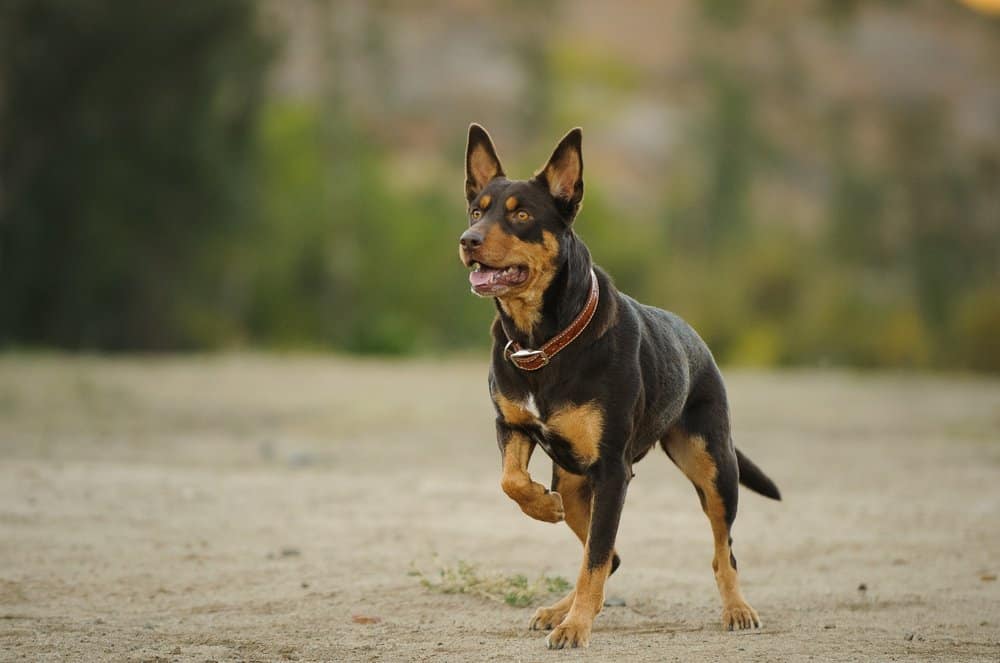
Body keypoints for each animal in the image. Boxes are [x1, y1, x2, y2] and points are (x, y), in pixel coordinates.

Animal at [458, 124, 784, 648]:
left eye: (522, 215)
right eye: (476, 210)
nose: (467, 240)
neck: (543, 340)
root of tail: (695, 339)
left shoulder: (613, 470)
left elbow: (594, 556)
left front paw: (576, 628)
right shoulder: (511, 426)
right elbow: (512, 482)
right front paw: (541, 508)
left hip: (713, 466)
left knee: (720, 550)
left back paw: (736, 608)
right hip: (575, 481)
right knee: (609, 553)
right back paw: (562, 604)